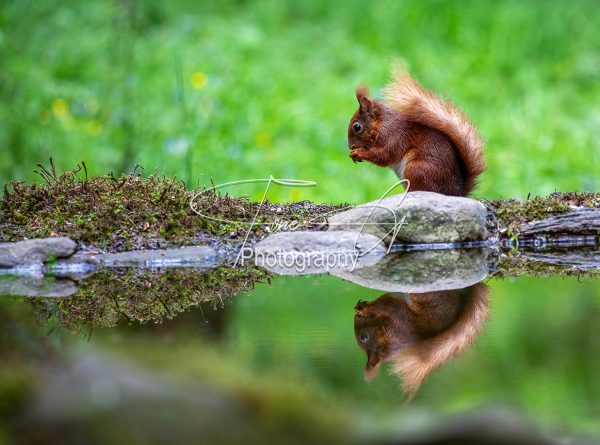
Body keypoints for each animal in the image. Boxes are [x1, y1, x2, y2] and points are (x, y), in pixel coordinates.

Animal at [350, 66, 486, 196]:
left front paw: (358, 153)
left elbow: (384, 155)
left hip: (417, 169)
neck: (381, 123)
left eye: (357, 127)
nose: (351, 146)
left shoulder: (393, 136)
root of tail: (455, 192)